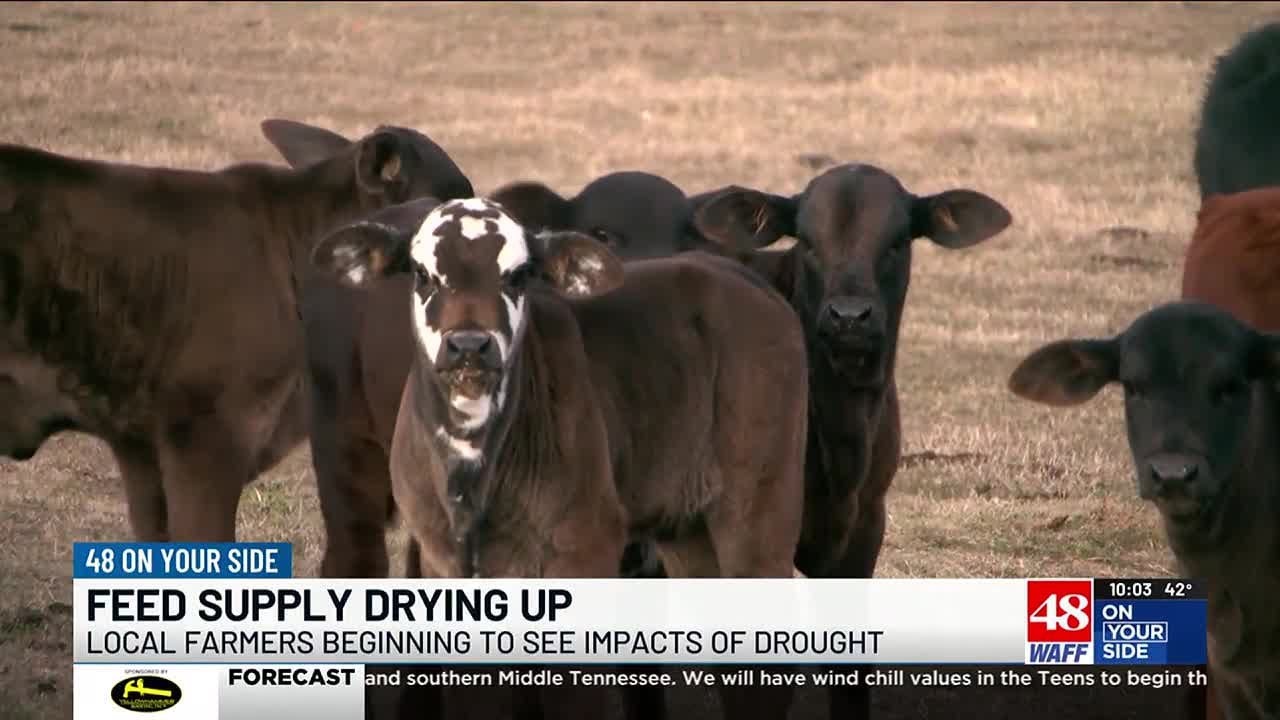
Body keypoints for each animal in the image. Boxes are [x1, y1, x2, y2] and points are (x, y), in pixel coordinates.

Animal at [309, 196, 810, 720]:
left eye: (517, 276)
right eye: (424, 274)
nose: (469, 346)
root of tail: (741, 278)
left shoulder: (585, 546)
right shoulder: (441, 560)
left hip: (759, 510)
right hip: (687, 524)